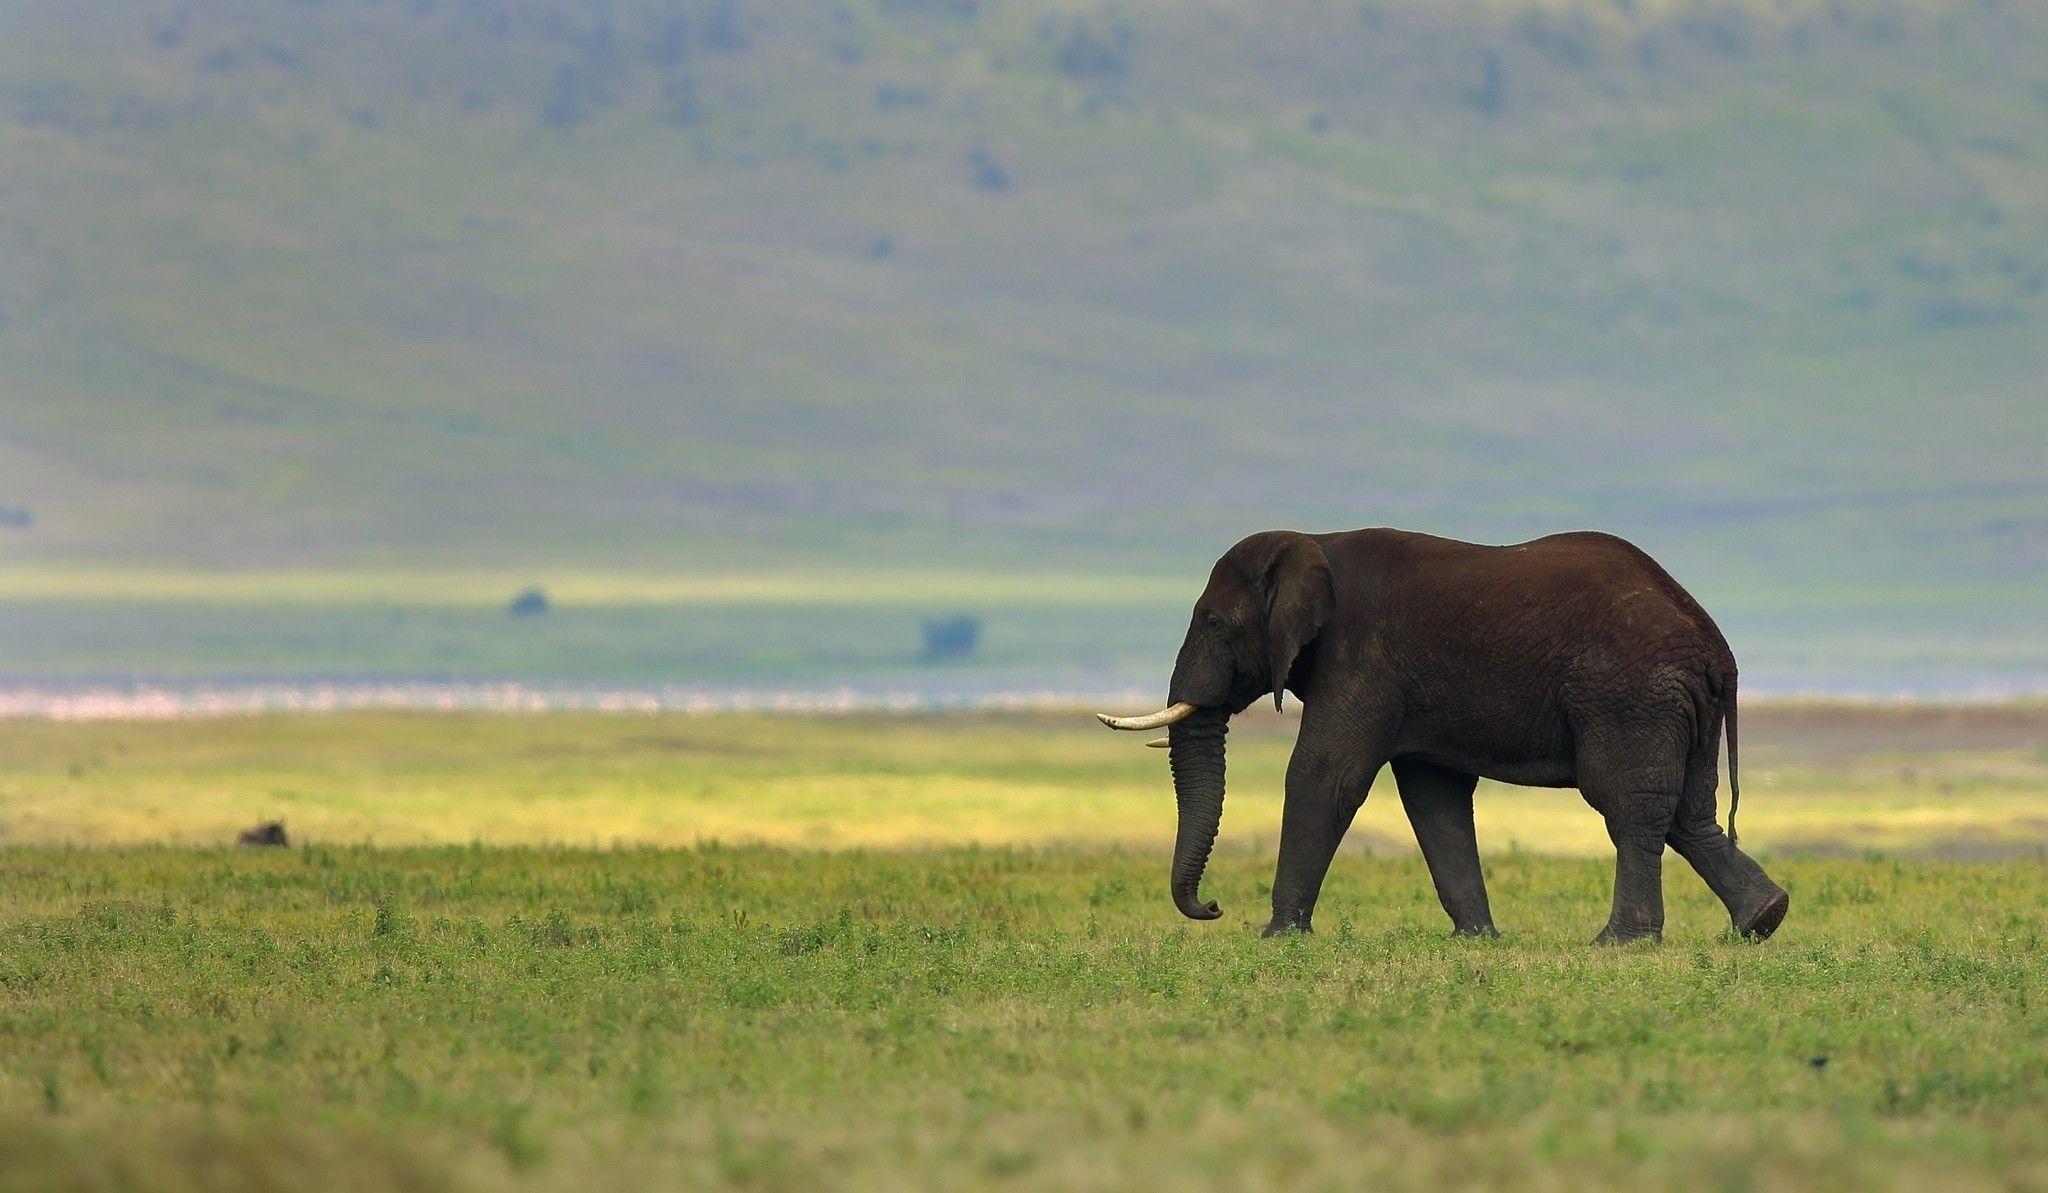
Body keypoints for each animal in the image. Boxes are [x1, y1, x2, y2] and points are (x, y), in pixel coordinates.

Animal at [1096, 529, 1788, 945]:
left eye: (1214, 622)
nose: (1213, 909)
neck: (1315, 542)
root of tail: (1712, 643)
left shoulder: (1360, 659)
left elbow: (1324, 775)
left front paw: (1278, 939)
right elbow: (1435, 799)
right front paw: (1478, 941)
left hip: (1628, 697)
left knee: (1630, 808)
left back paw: (1620, 944)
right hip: (1674, 704)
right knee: (1689, 814)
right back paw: (1763, 919)